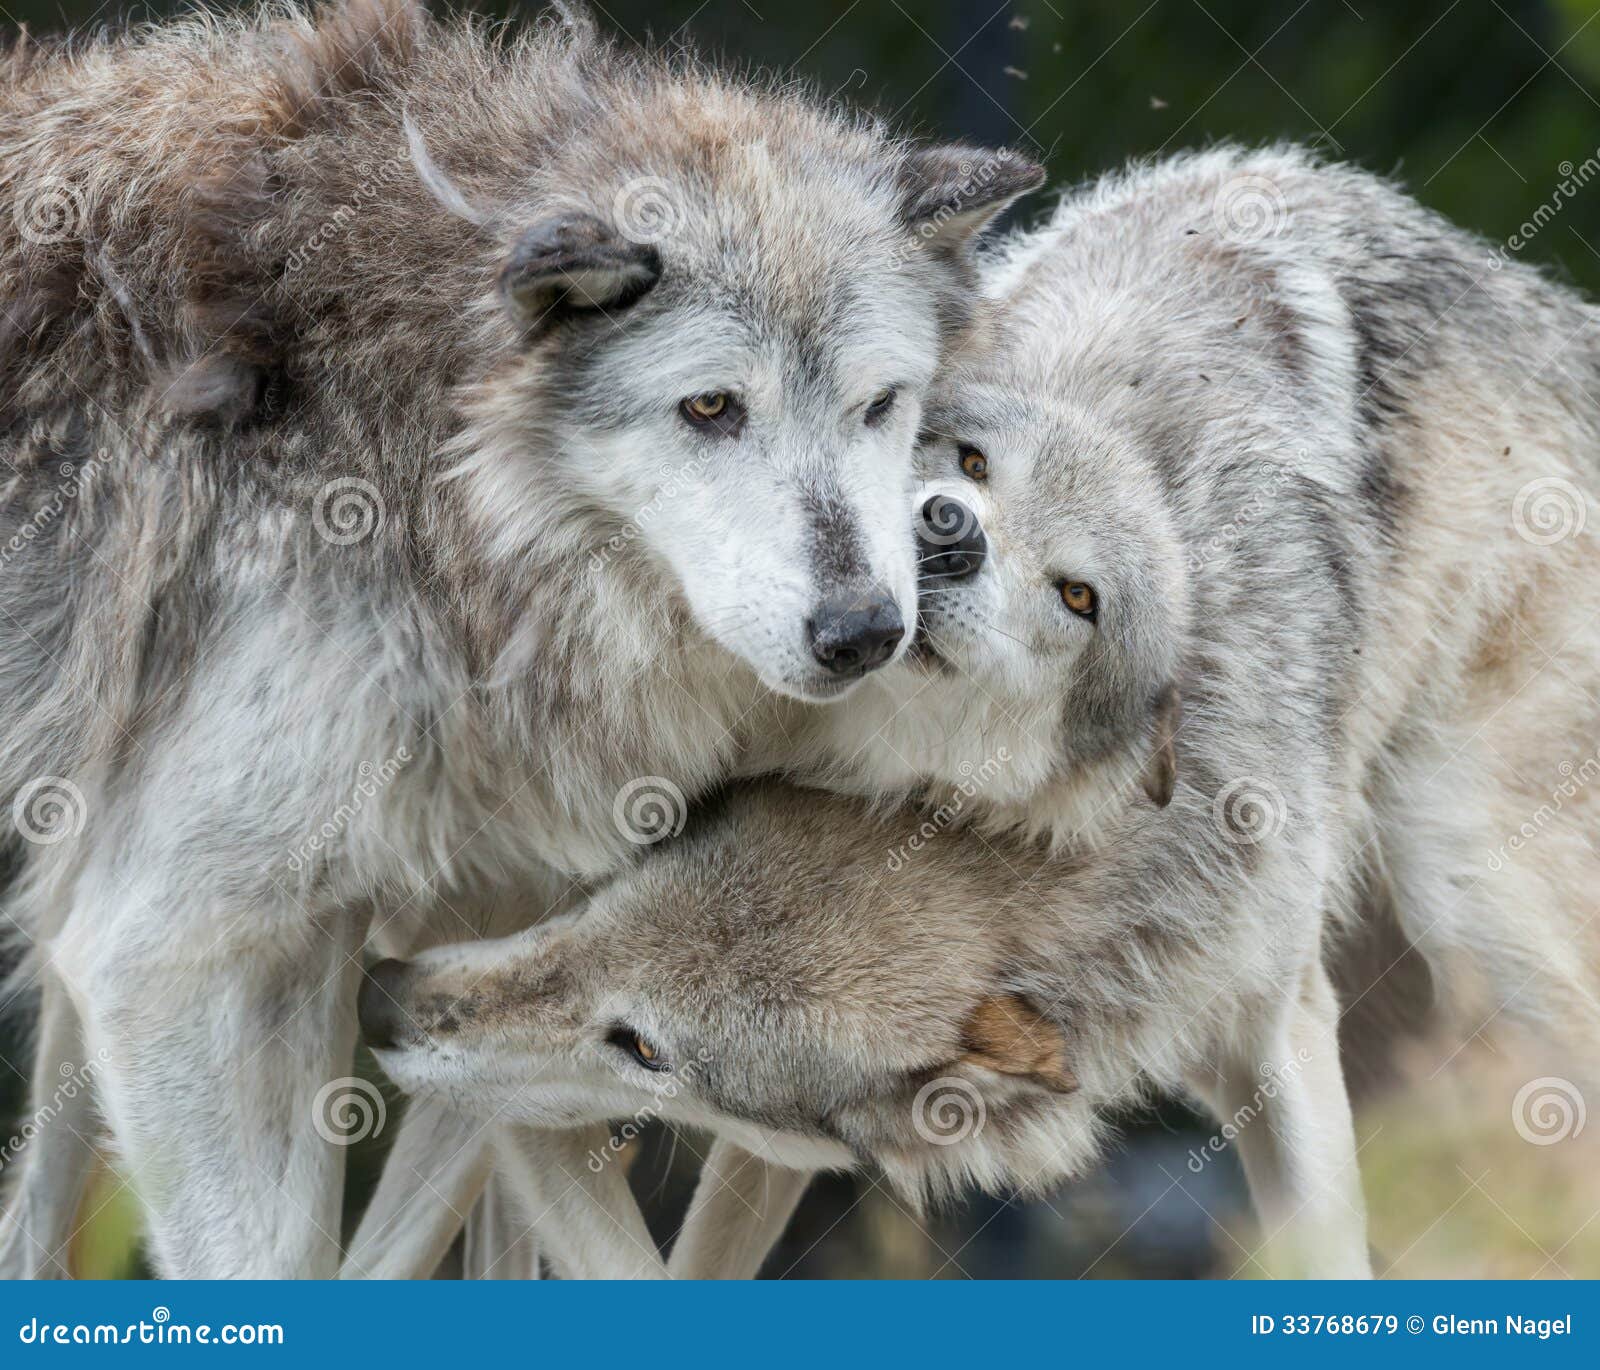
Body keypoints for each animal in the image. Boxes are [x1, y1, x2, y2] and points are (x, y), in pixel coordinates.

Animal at [0, 0, 1036, 1273]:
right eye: (710, 407)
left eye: (880, 403)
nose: (862, 631)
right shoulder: (164, 953)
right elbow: (278, 1259)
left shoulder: (486, 930)